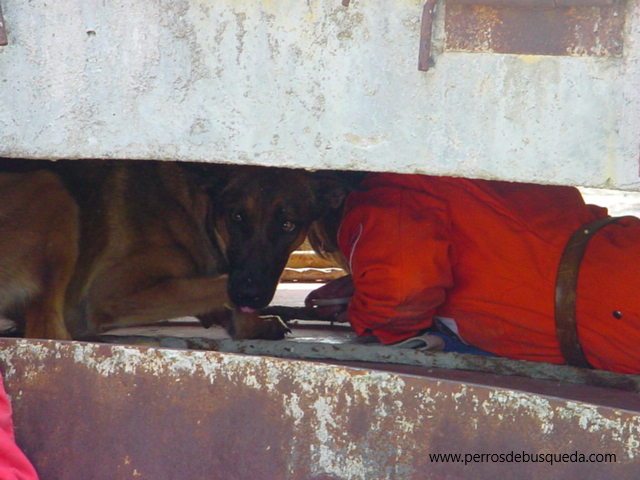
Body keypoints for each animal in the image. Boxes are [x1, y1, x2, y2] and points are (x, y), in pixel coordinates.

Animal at [0, 160, 348, 342]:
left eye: (288, 224)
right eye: (236, 216)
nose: (250, 293)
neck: (193, 210)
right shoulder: (109, 295)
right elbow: (219, 283)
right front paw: (246, 320)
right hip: (51, 189)